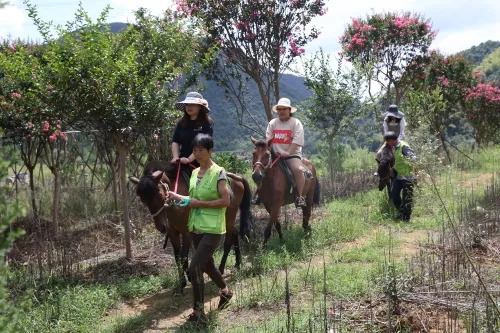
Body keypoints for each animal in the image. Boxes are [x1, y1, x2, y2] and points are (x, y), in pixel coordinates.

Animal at [131, 160, 252, 290]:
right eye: (143, 199)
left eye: (159, 194)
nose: (161, 227)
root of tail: (237, 178)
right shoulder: (173, 233)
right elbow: (177, 257)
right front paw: (182, 283)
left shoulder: (187, 233)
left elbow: (184, 257)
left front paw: (189, 277)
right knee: (234, 232)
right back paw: (238, 263)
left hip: (229, 215)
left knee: (229, 238)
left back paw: (221, 268)